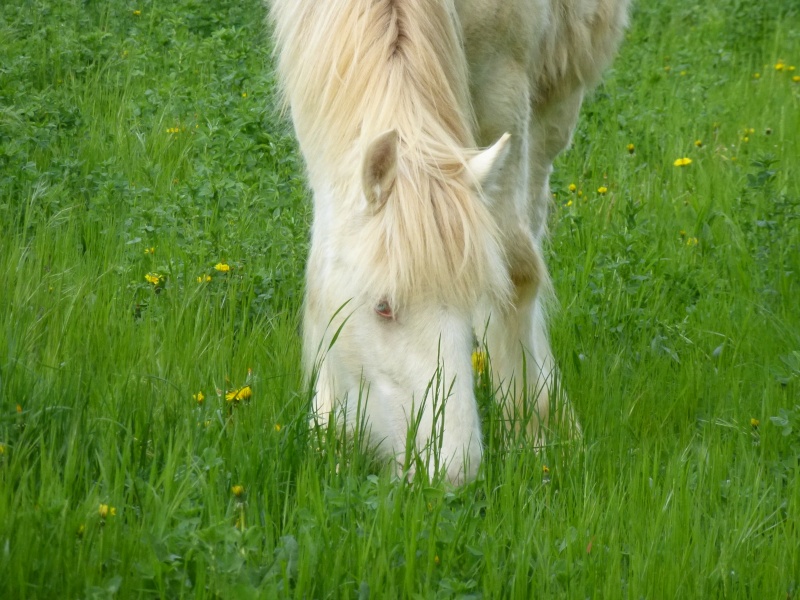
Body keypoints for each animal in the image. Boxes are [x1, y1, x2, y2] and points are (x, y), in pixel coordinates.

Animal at [272, 0, 628, 486]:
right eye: (383, 307)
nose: (453, 474)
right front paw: (329, 431)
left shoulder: (504, 79)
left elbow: (516, 271)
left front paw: (533, 434)